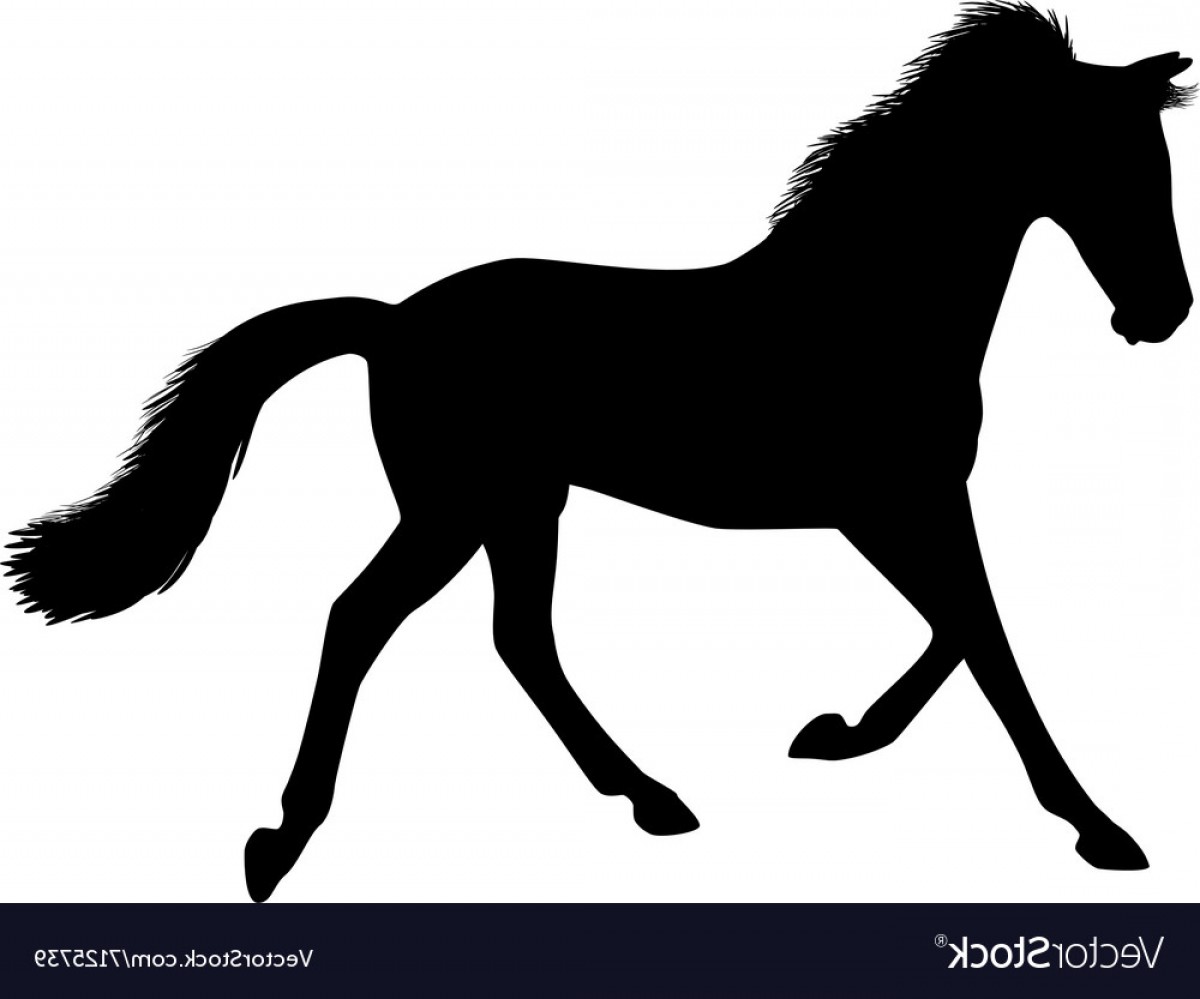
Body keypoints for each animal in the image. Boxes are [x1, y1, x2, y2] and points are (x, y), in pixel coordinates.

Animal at [6, 2, 1193, 902]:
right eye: (1114, 164)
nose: (1164, 313)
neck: (871, 308)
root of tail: (393, 322)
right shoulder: (898, 503)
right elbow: (984, 635)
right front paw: (1101, 830)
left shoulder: (893, 507)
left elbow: (963, 627)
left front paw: (839, 735)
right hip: (457, 509)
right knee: (362, 619)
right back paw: (281, 842)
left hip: (520, 506)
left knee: (517, 639)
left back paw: (651, 800)